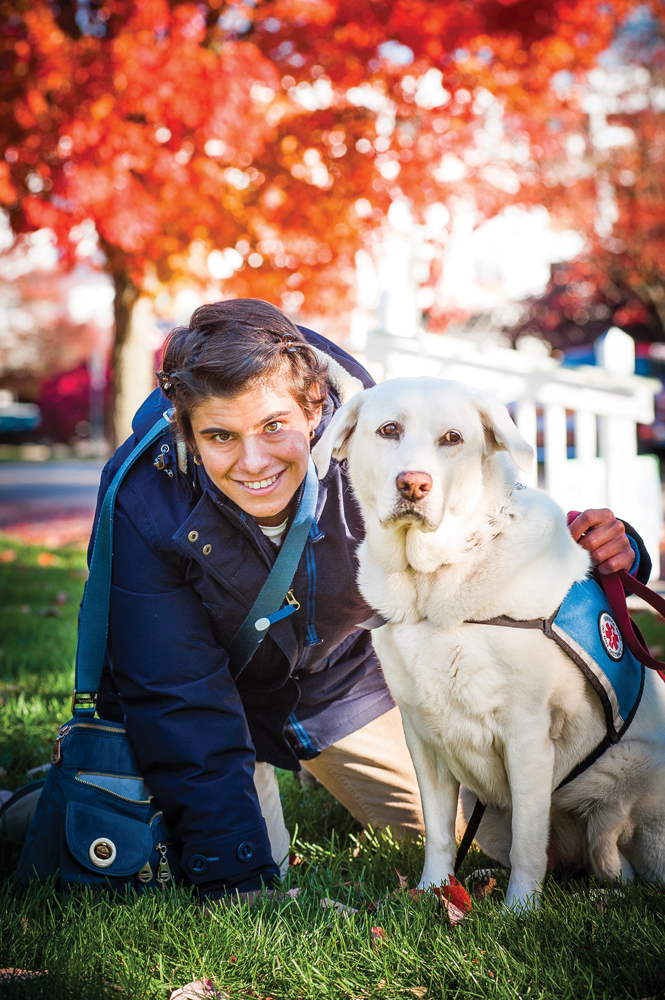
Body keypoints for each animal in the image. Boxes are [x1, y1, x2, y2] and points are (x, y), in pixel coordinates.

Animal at [314, 376, 664, 908]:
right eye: (389, 430)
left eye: (453, 438)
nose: (413, 484)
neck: (433, 584)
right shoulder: (423, 737)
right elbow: (439, 833)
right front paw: (434, 893)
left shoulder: (526, 734)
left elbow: (528, 840)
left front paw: (520, 910)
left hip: (631, 766)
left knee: (611, 858)